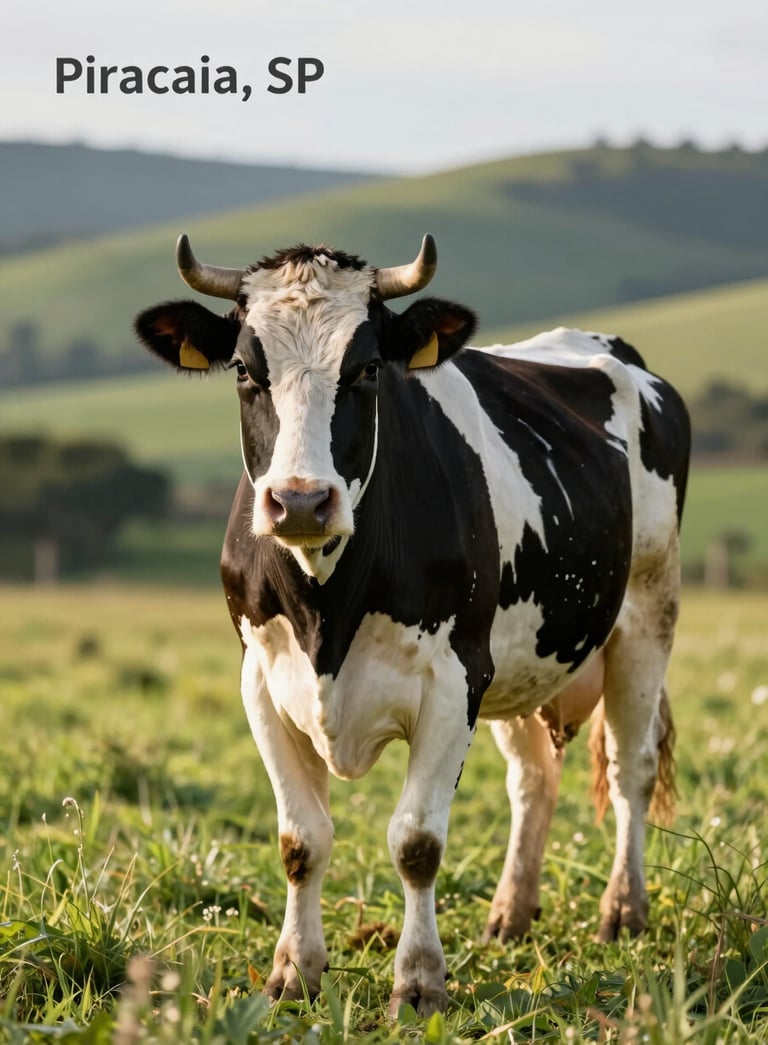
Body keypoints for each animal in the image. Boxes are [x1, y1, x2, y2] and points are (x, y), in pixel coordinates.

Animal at [134, 233, 690, 1017]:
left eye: (367, 368)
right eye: (245, 368)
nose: (299, 501)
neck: (327, 614)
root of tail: (608, 348)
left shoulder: (454, 679)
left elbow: (417, 841)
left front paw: (420, 981)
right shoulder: (262, 680)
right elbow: (301, 838)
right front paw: (293, 972)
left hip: (647, 612)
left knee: (630, 767)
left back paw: (624, 909)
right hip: (518, 659)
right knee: (533, 778)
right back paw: (510, 914)